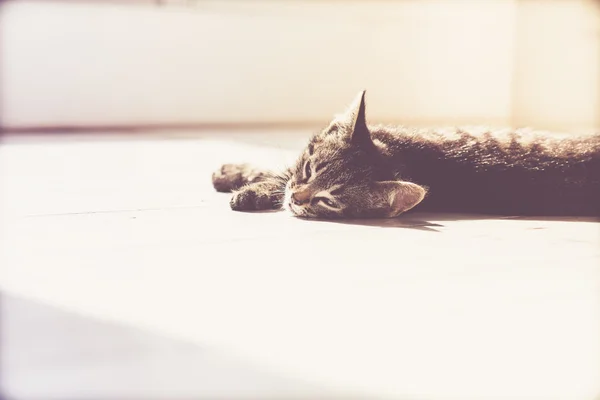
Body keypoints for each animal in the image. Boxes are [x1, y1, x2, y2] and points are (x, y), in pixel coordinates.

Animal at [213, 91, 596, 219]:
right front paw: (235, 172)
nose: (298, 197)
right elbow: (281, 171)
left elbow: (276, 179)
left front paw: (249, 190)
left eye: (329, 201)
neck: (402, 153)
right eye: (309, 168)